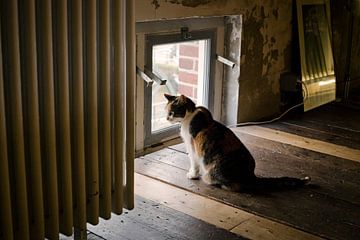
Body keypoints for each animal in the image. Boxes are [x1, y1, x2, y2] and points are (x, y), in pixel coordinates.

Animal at [163, 93, 310, 192]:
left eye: (172, 112)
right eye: (166, 111)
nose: (166, 118)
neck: (190, 114)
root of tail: (251, 176)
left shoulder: (192, 147)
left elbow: (194, 163)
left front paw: (192, 175)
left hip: (213, 172)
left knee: (234, 186)